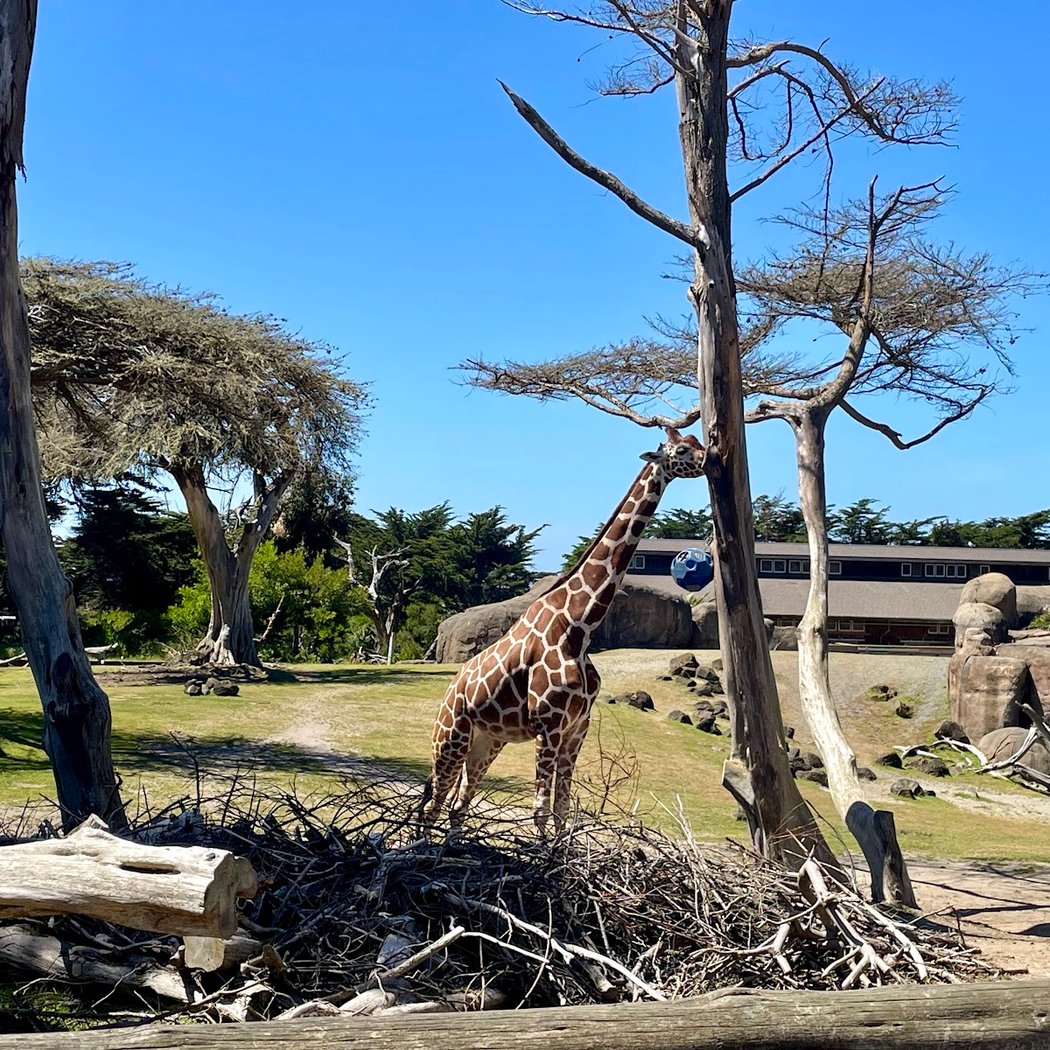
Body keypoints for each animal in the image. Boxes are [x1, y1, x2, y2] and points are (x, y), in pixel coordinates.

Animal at [421, 427, 706, 835]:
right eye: (681, 450)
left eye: (695, 440)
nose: (709, 458)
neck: (579, 626)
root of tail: (446, 696)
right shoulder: (550, 726)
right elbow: (540, 810)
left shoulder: (576, 728)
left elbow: (562, 808)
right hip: (450, 738)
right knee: (433, 805)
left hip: (487, 742)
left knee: (459, 804)